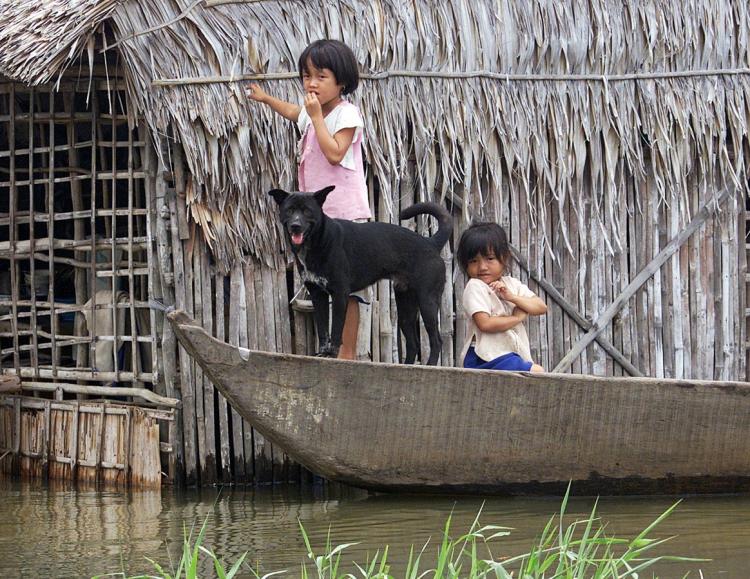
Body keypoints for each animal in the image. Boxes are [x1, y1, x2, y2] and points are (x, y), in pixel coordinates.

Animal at [270, 188, 452, 364]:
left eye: (307, 211)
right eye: (289, 210)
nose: (295, 226)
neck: (318, 240)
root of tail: (431, 243)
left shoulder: (339, 294)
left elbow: (336, 329)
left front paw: (332, 354)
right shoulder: (317, 295)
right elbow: (322, 329)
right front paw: (322, 353)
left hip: (427, 302)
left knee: (437, 340)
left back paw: (431, 365)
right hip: (405, 308)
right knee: (413, 343)